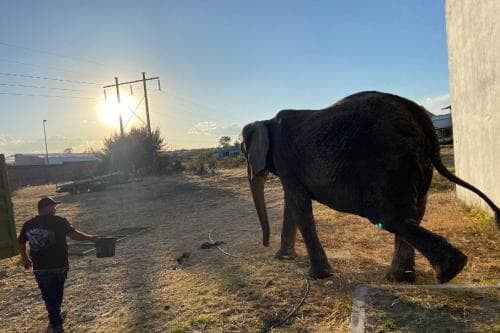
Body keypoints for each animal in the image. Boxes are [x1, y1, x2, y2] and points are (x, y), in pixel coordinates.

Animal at [240, 89, 498, 282]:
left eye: (243, 152)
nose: (265, 245)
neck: (265, 121)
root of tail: (418, 114)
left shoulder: (286, 159)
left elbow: (298, 207)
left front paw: (317, 276)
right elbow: (292, 206)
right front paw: (283, 258)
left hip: (390, 160)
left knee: (390, 217)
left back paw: (449, 271)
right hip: (416, 163)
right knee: (412, 214)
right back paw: (401, 278)